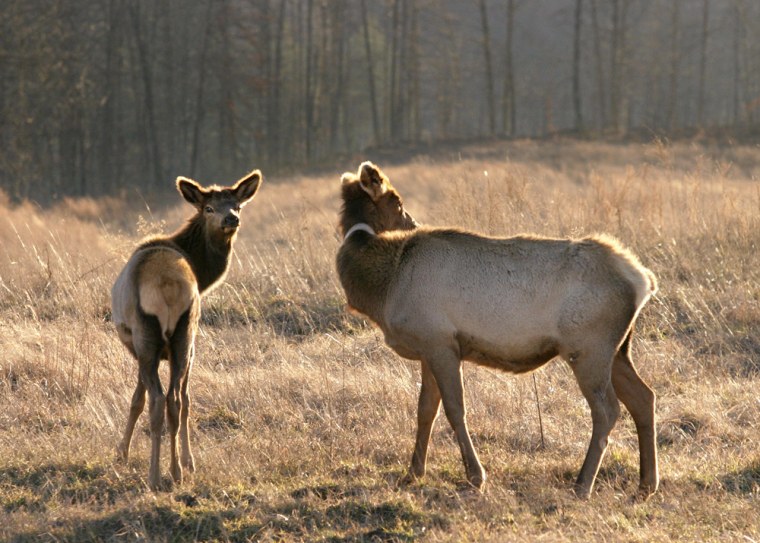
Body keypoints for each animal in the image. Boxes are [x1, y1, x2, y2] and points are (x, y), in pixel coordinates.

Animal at [111, 170, 262, 490]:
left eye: (237, 205)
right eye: (209, 208)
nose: (231, 218)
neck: (203, 277)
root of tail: (167, 286)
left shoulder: (136, 345)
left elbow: (137, 399)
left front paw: (121, 453)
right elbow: (183, 399)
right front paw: (188, 462)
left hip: (149, 336)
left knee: (159, 400)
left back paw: (156, 475)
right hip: (184, 335)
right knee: (176, 400)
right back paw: (176, 470)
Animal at [336, 161, 659, 500]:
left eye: (396, 201)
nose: (413, 223)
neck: (385, 288)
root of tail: (643, 280)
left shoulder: (441, 343)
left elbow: (455, 409)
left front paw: (475, 476)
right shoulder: (429, 349)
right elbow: (425, 410)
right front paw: (413, 472)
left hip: (588, 348)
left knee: (608, 409)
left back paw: (583, 484)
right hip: (617, 350)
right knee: (644, 398)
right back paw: (646, 484)